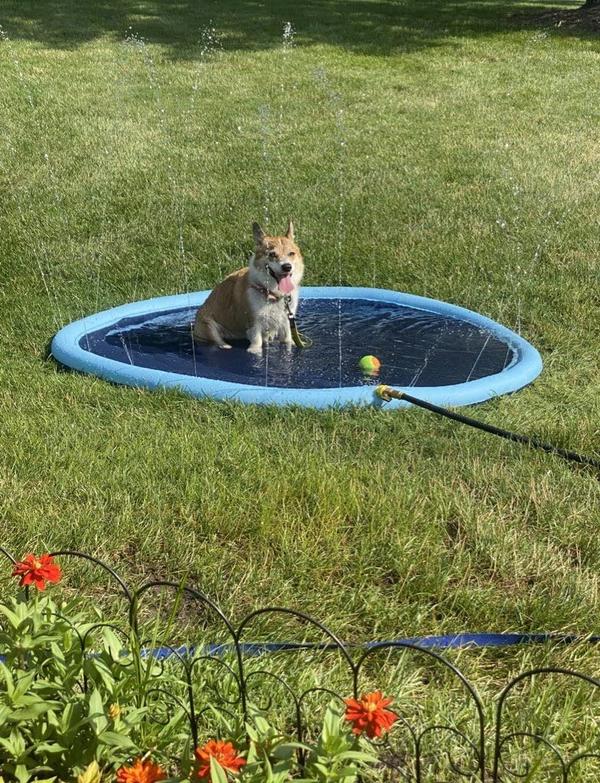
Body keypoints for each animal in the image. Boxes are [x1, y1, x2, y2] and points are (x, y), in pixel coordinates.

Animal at [193, 222, 304, 354]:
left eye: (291, 253)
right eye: (272, 254)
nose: (287, 267)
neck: (272, 293)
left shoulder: (286, 321)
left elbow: (287, 340)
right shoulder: (253, 321)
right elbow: (257, 342)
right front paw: (255, 351)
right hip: (208, 324)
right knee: (218, 340)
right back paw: (225, 346)